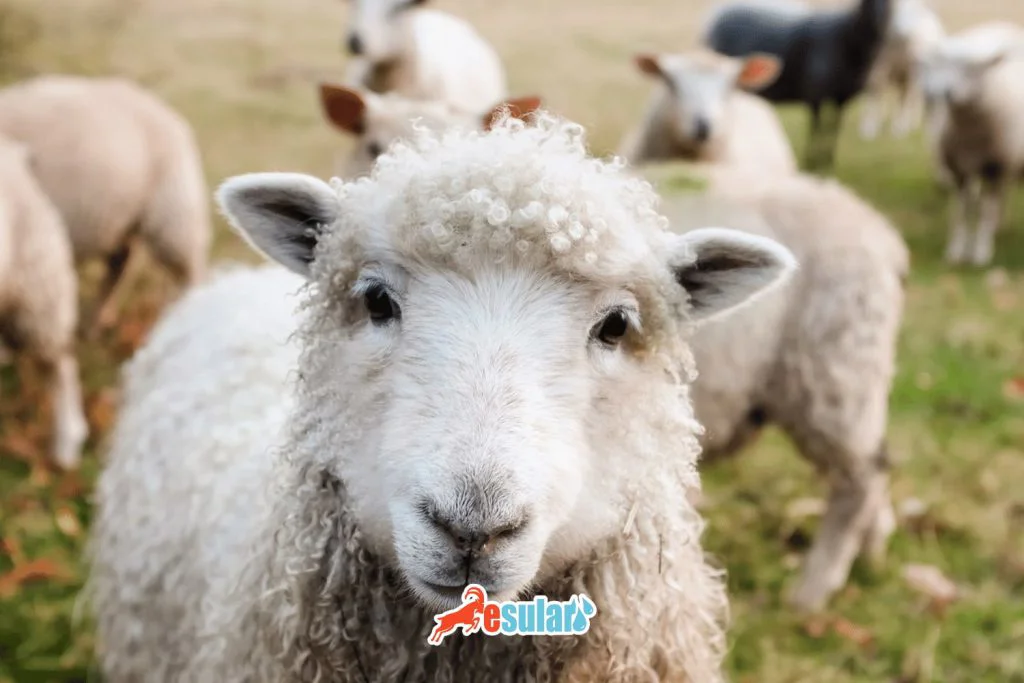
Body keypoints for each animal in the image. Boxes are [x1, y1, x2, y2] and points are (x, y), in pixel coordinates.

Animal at [703, 0, 892, 171]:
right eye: (869, 2)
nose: (880, 18)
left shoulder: (841, 99)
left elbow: (833, 130)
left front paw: (827, 162)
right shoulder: (815, 94)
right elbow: (816, 129)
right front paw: (812, 162)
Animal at [915, 22, 1024, 266]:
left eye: (973, 68)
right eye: (941, 64)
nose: (942, 92)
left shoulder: (996, 167)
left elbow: (984, 211)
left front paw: (981, 252)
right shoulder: (959, 170)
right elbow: (961, 212)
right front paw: (956, 251)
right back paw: (998, 226)